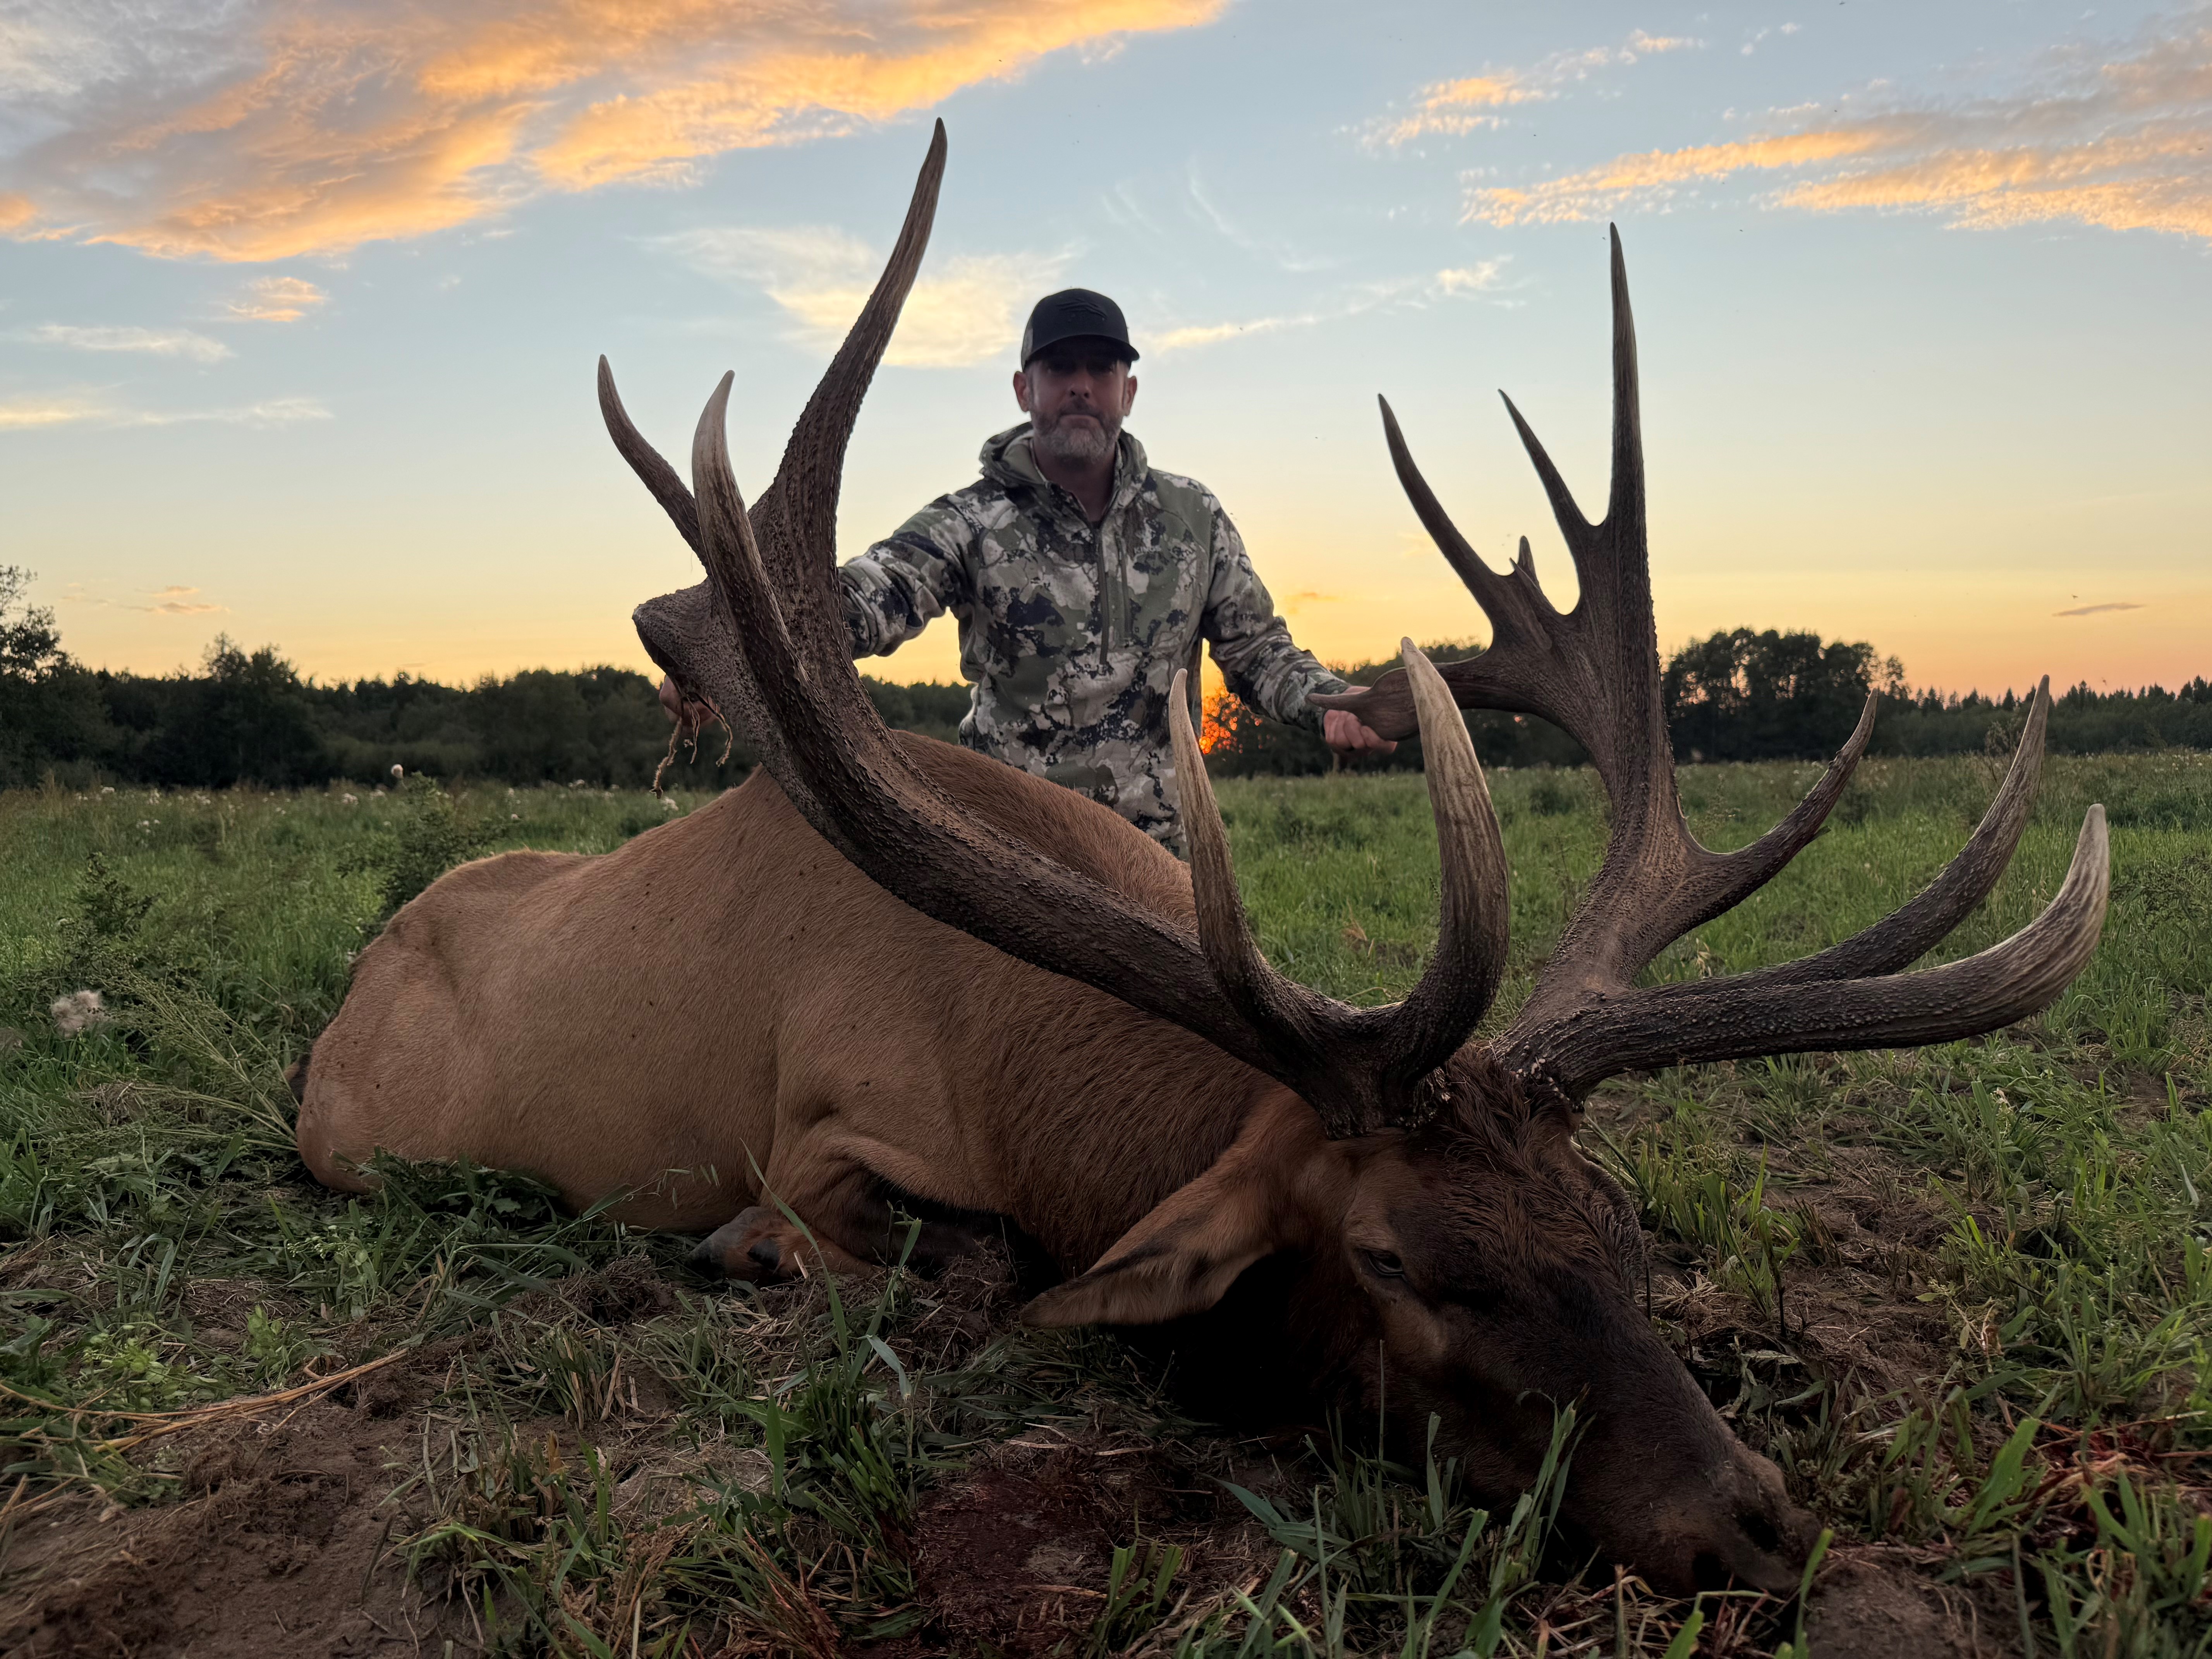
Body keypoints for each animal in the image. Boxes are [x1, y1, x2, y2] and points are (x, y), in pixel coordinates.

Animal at [294, 123, 2110, 1597]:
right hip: (356, 1142)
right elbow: (924, 1256)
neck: (1027, 1080)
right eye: (1391, 1256)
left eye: (1616, 1220)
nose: (1747, 1516)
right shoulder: (819, 1128)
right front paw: (747, 1255)